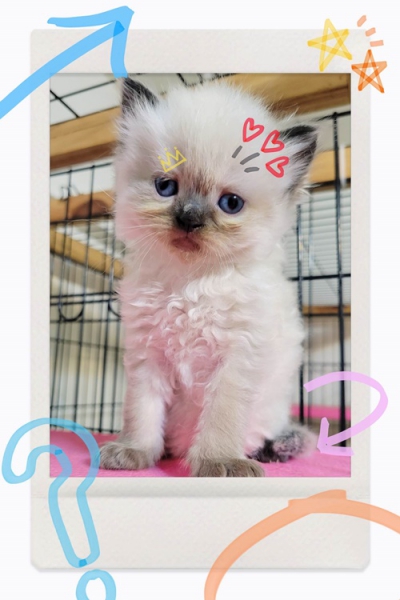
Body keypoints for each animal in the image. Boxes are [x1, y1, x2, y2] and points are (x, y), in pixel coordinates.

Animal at [99, 77, 318, 477]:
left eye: (230, 204)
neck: (191, 283)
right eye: (165, 187)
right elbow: (141, 413)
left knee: (272, 437)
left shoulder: (235, 359)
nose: (189, 219)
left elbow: (221, 417)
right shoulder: (148, 356)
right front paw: (135, 453)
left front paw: (219, 462)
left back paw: (265, 453)